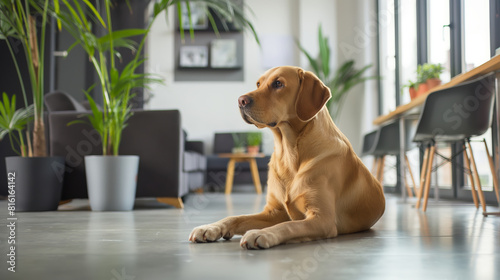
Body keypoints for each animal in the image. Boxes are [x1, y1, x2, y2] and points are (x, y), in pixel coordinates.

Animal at [189, 66, 384, 249]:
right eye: (258, 84)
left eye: (278, 84)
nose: (240, 100)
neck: (289, 152)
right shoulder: (273, 212)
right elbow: (236, 217)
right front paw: (210, 227)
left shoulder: (323, 219)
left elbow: (289, 226)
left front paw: (262, 233)